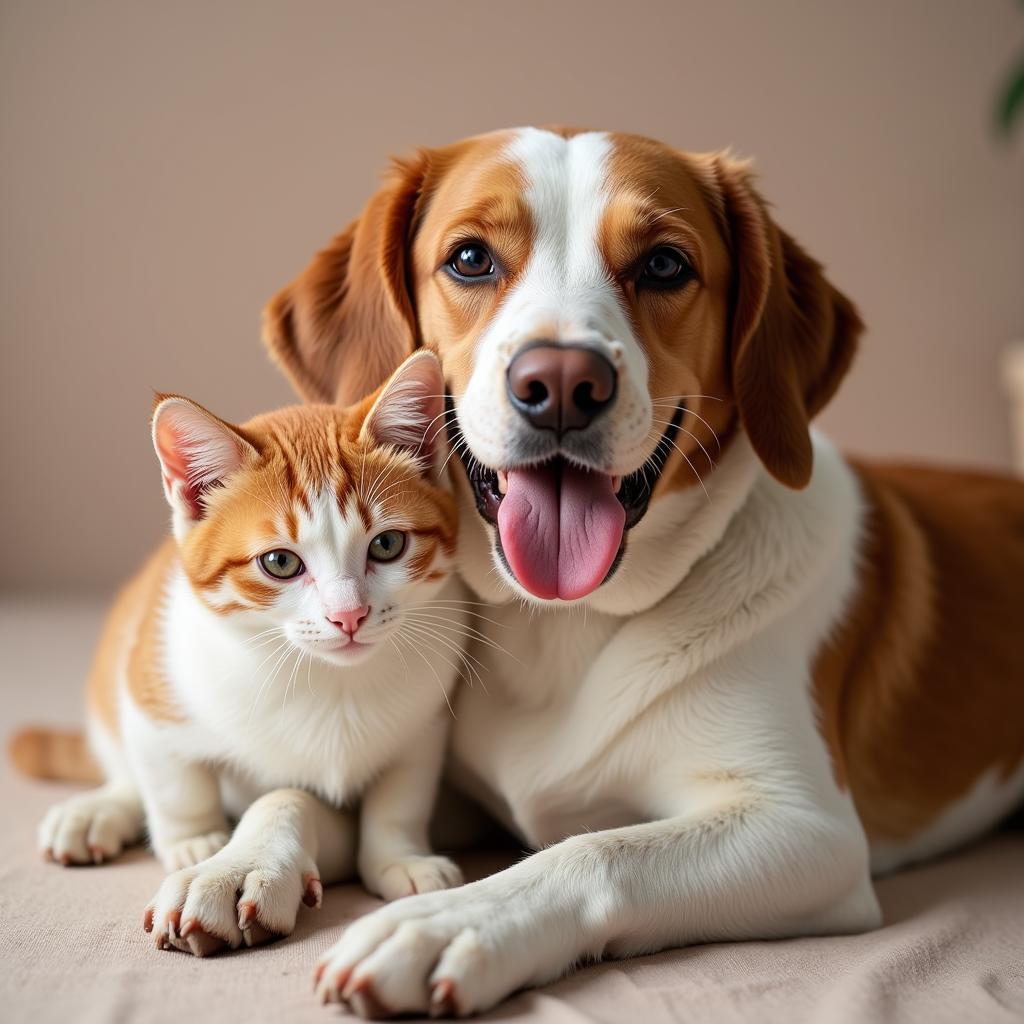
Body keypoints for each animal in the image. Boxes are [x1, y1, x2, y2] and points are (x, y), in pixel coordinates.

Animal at [12, 354, 468, 958]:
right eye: (280, 562)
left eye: (387, 545)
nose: (349, 616)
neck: (329, 681)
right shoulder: (152, 674)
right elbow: (170, 775)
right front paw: (195, 840)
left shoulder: (427, 720)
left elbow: (401, 793)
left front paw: (400, 858)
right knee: (124, 764)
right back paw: (97, 811)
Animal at [264, 128, 1024, 1015]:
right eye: (470, 258)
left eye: (664, 265)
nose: (561, 383)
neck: (564, 626)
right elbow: (300, 793)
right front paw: (234, 867)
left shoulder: (809, 827)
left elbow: (594, 849)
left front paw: (448, 924)